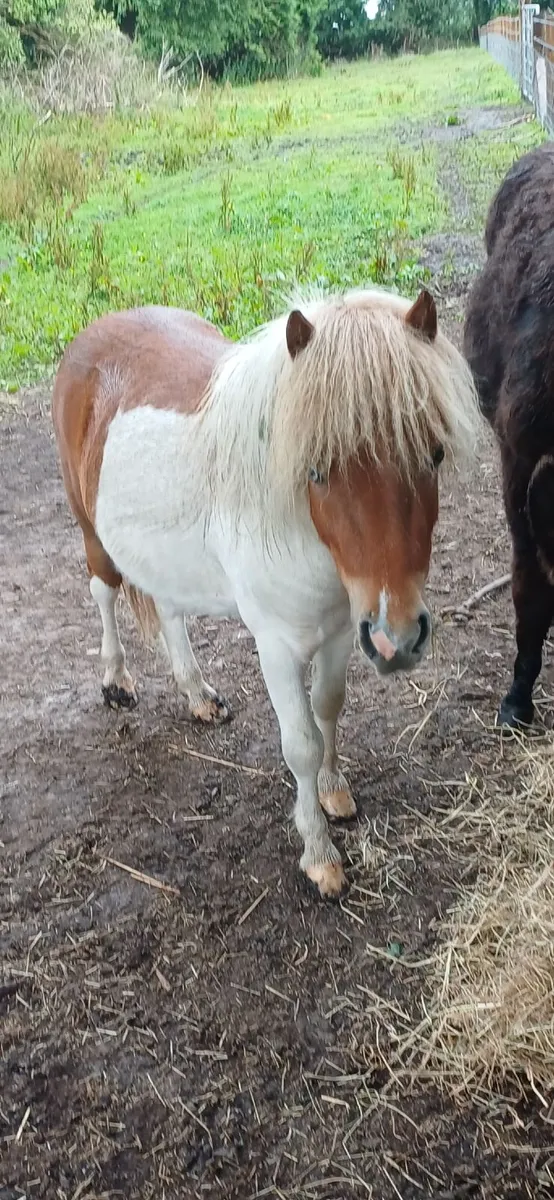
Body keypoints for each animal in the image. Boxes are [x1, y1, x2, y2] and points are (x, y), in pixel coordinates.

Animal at [52, 287, 479, 897]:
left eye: (435, 454)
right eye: (316, 471)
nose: (398, 639)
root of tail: (93, 334)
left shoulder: (343, 631)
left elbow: (328, 708)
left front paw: (334, 791)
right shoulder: (277, 648)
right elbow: (300, 743)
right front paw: (319, 853)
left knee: (169, 609)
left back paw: (199, 695)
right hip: (92, 532)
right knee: (104, 593)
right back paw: (116, 681)